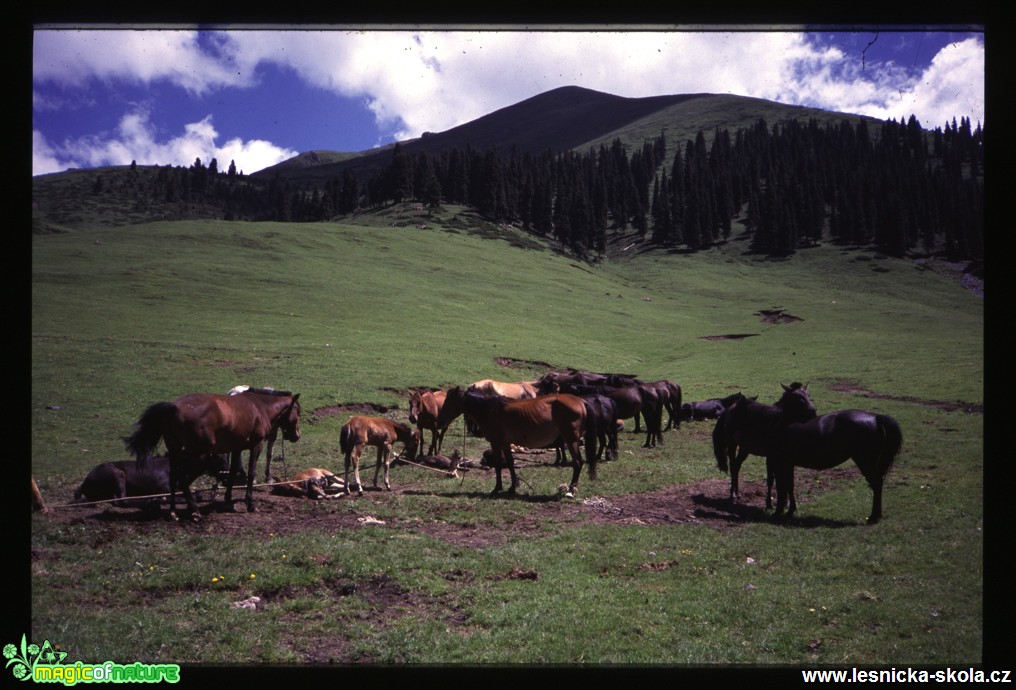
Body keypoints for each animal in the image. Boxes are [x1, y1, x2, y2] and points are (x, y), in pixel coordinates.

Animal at [74, 455, 235, 510]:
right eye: (219, 457)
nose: (228, 477)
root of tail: (84, 483)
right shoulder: (163, 489)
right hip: (118, 475)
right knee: (121, 501)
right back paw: (149, 502)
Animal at [121, 388, 298, 518]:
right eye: (298, 411)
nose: (297, 435)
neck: (259, 406)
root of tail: (174, 407)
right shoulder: (256, 446)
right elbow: (251, 474)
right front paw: (250, 504)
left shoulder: (236, 448)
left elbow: (232, 474)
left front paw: (228, 500)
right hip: (196, 455)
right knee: (183, 479)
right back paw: (194, 509)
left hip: (175, 452)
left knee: (173, 478)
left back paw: (173, 511)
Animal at [440, 388, 593, 495]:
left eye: (449, 402)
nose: (441, 420)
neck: (489, 410)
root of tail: (581, 401)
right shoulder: (505, 443)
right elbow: (510, 464)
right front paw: (512, 488)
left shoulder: (496, 443)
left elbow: (498, 465)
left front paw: (497, 488)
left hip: (571, 440)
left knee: (578, 462)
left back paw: (571, 490)